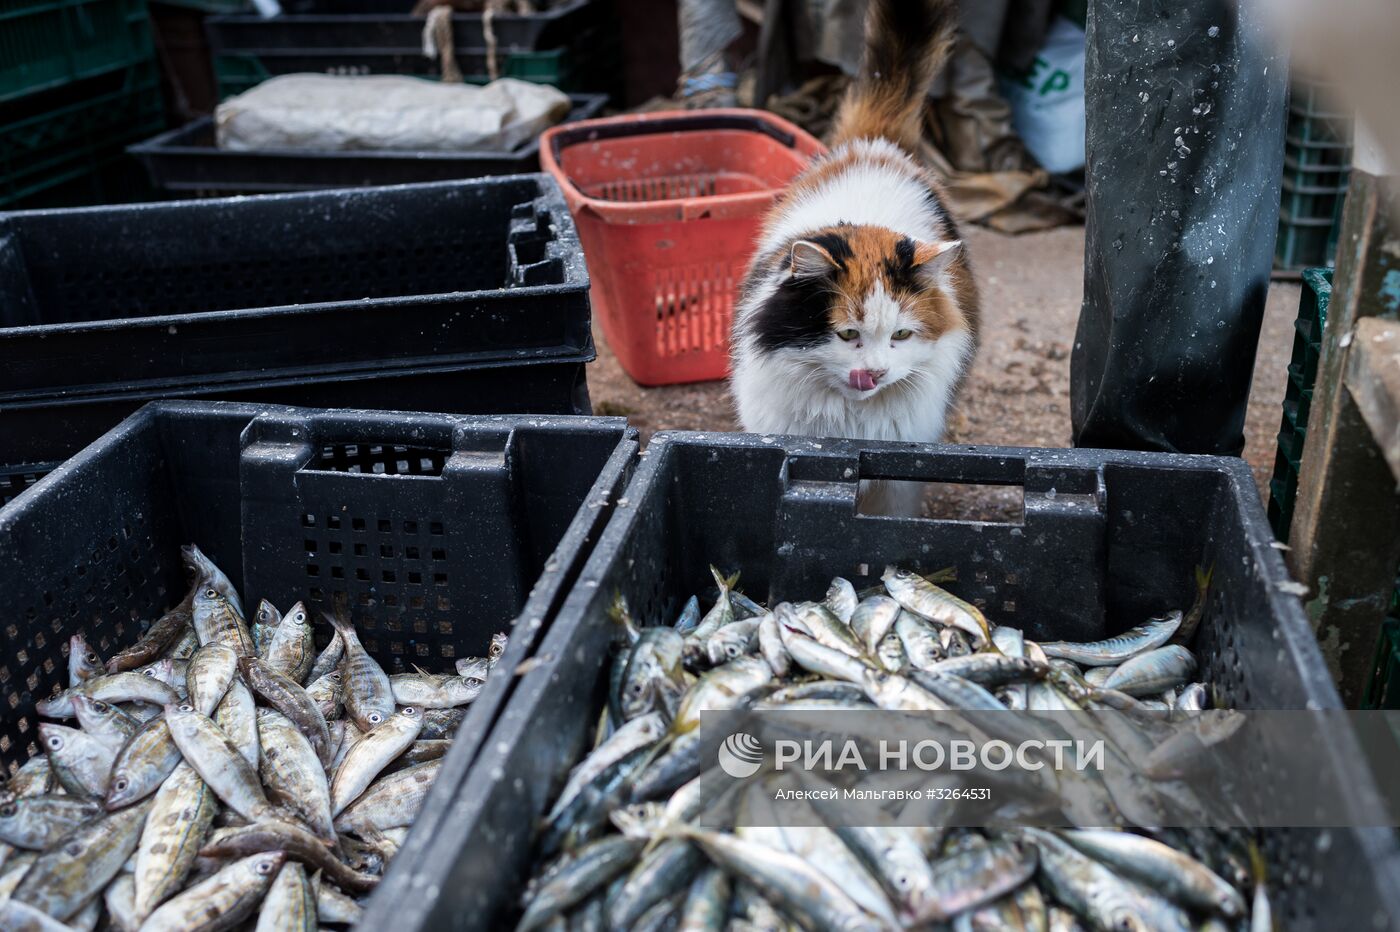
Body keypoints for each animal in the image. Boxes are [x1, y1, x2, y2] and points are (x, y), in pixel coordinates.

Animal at [733, 0, 985, 512]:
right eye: (847, 334)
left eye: (902, 335)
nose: (876, 372)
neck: (849, 424)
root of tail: (876, 142)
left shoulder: (899, 477)